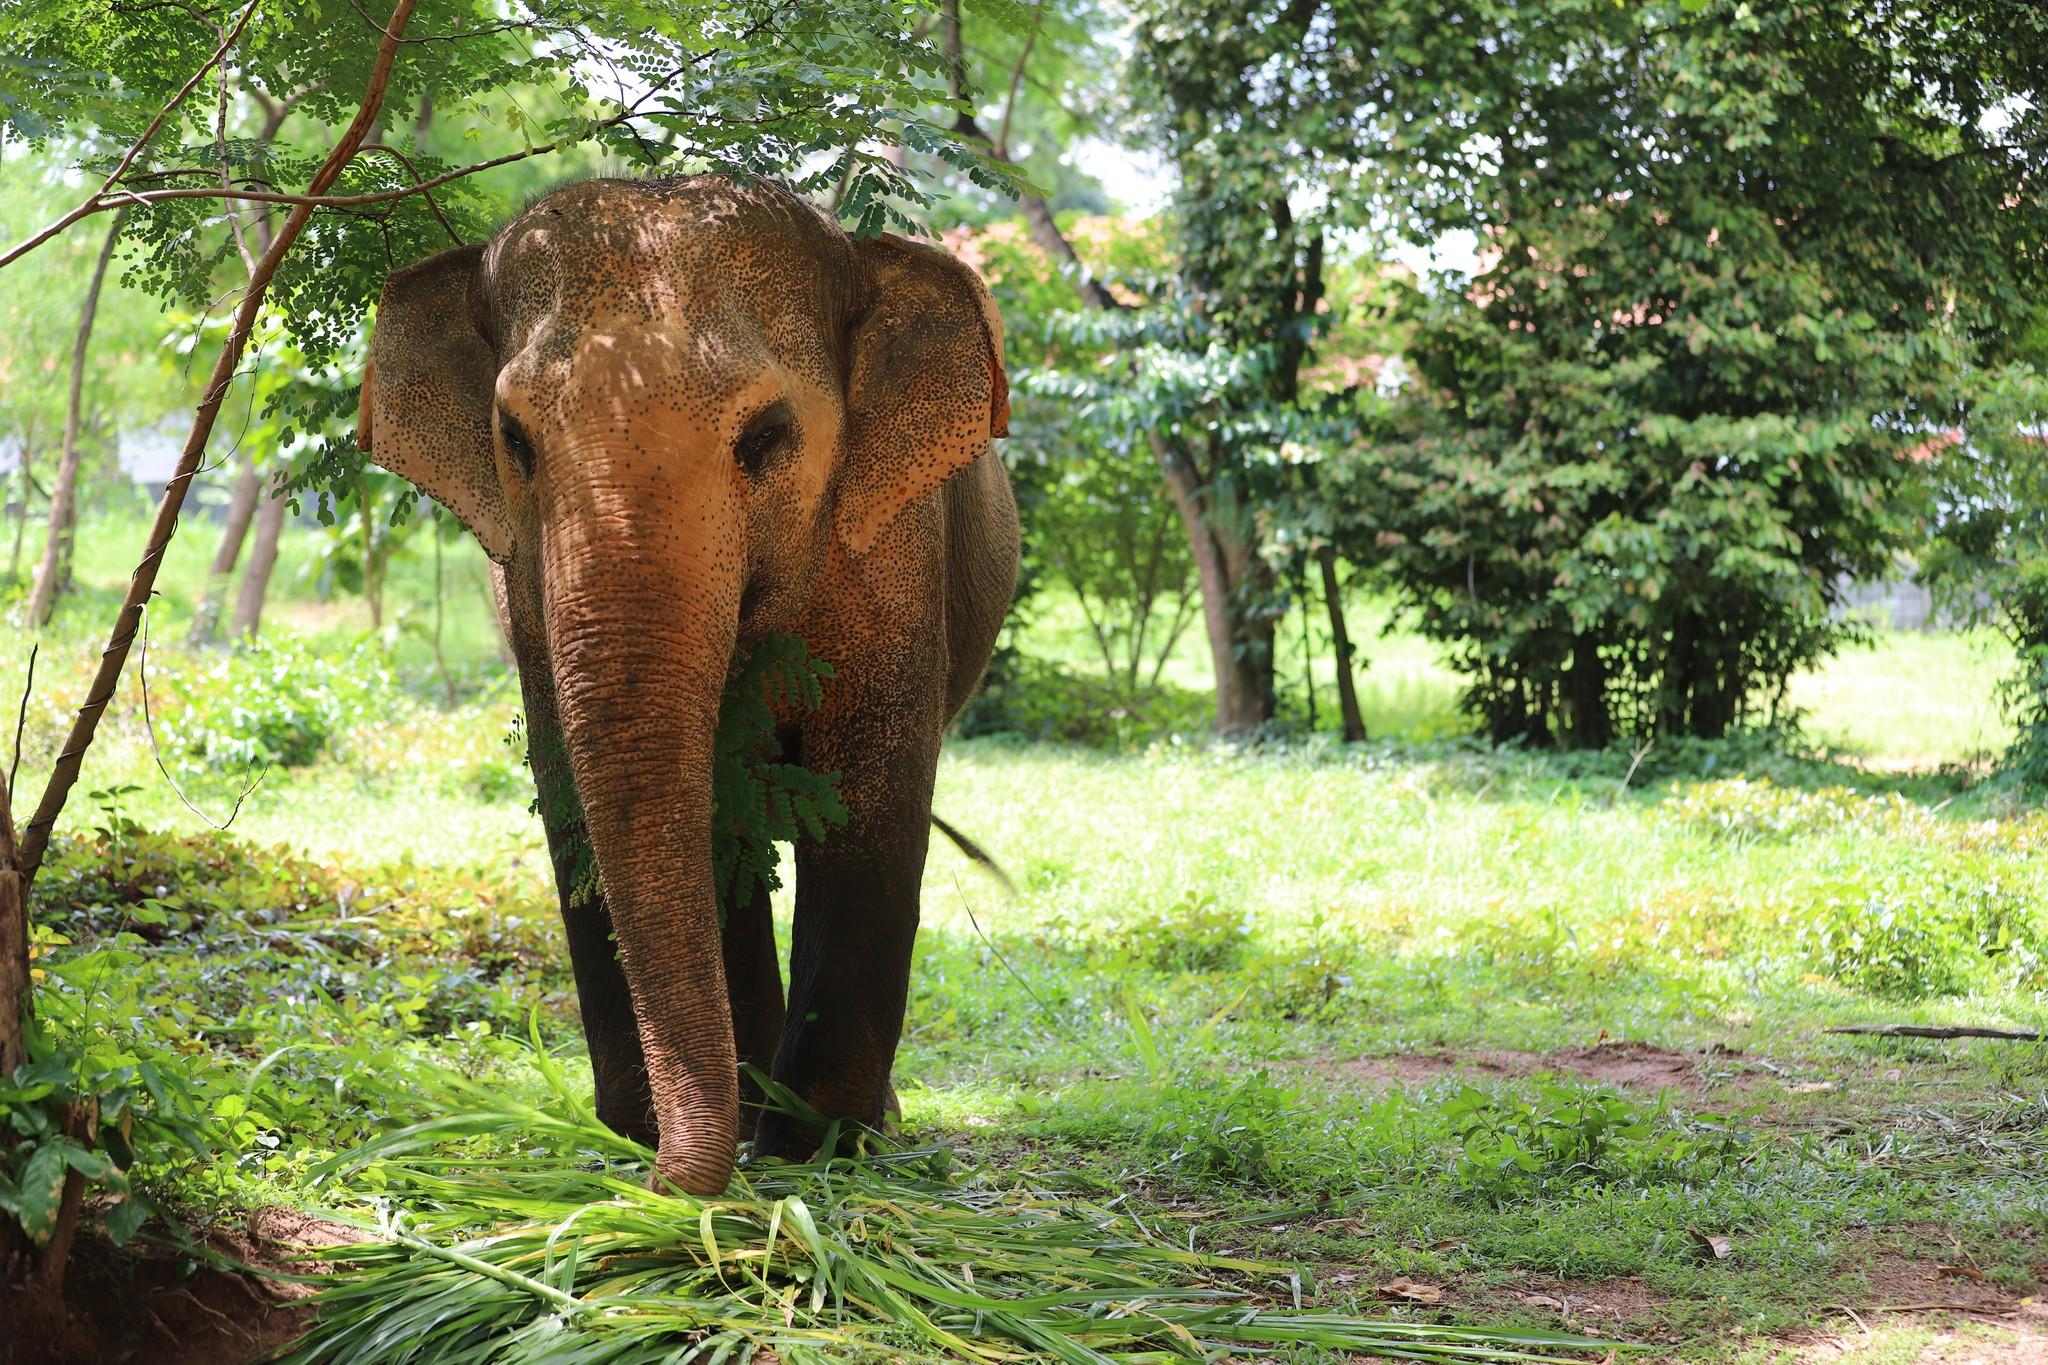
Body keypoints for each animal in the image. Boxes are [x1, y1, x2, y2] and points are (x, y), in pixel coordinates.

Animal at [356, 175, 1019, 1195]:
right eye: (514, 438)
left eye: (768, 436)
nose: (664, 1179)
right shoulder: (527, 589)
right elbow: (585, 806)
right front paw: (642, 1138)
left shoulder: (897, 554)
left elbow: (866, 815)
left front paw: (815, 1149)